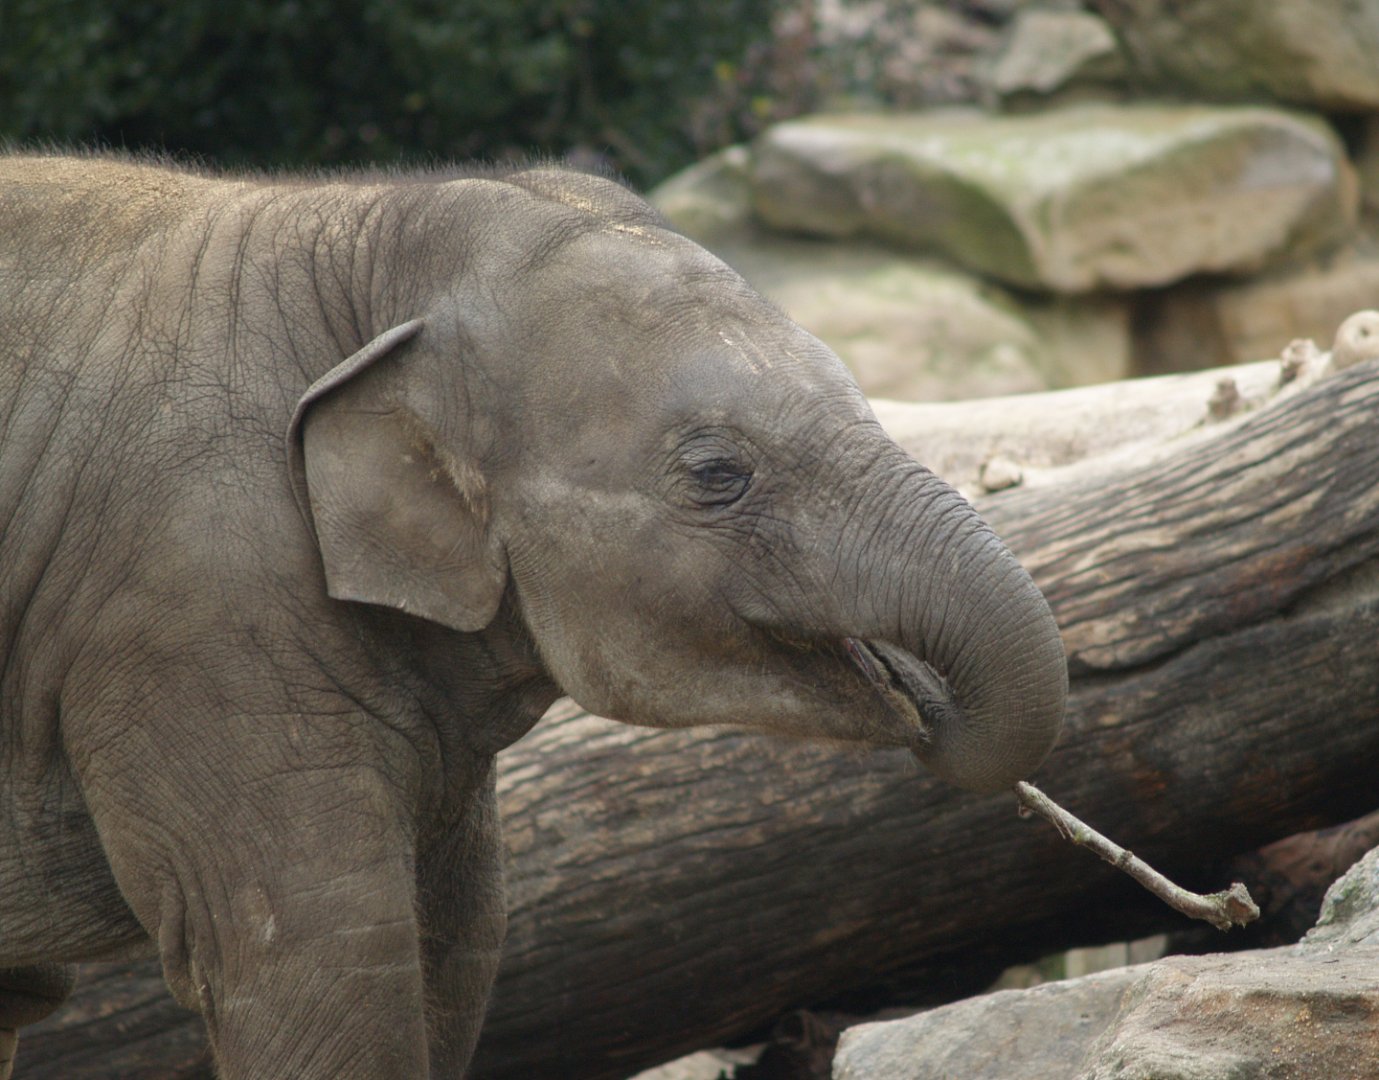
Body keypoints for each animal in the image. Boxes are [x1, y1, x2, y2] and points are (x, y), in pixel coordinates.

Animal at [0, 153, 1067, 1078]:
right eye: (717, 473)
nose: (923, 702)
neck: (367, 242)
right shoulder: (191, 614)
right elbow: (324, 961)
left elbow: (462, 942)